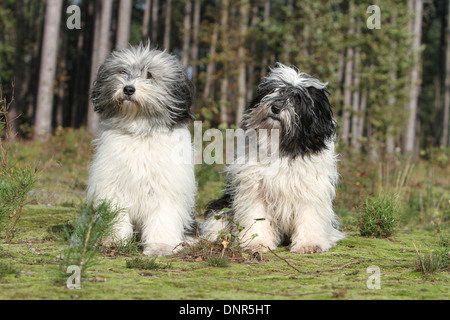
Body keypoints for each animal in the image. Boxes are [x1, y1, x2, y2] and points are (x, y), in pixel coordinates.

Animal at [87, 43, 196, 258]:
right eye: (122, 71)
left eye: (150, 75)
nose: (128, 89)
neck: (139, 129)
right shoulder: (113, 185)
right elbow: (116, 215)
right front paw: (114, 241)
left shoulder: (165, 189)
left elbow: (163, 217)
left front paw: (161, 247)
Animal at [201, 63, 344, 254]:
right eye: (274, 90)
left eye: (297, 99)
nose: (276, 107)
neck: (281, 148)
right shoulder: (256, 189)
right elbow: (257, 218)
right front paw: (256, 242)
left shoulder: (310, 189)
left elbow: (309, 216)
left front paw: (309, 244)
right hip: (222, 206)